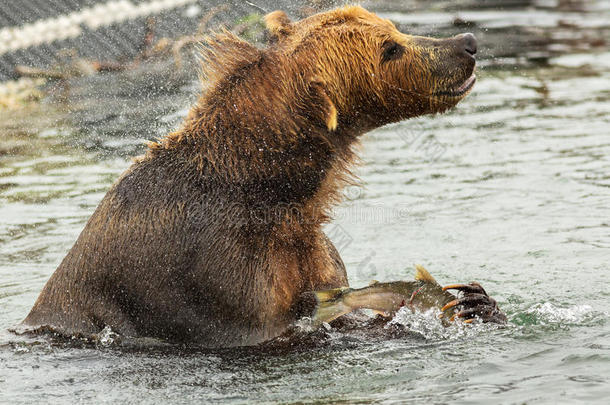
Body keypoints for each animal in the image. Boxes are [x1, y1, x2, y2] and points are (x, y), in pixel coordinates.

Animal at [21, 5, 502, 348]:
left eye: (393, 28)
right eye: (389, 48)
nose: (466, 42)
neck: (272, 189)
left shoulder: (307, 250)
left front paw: (477, 300)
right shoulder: (212, 272)